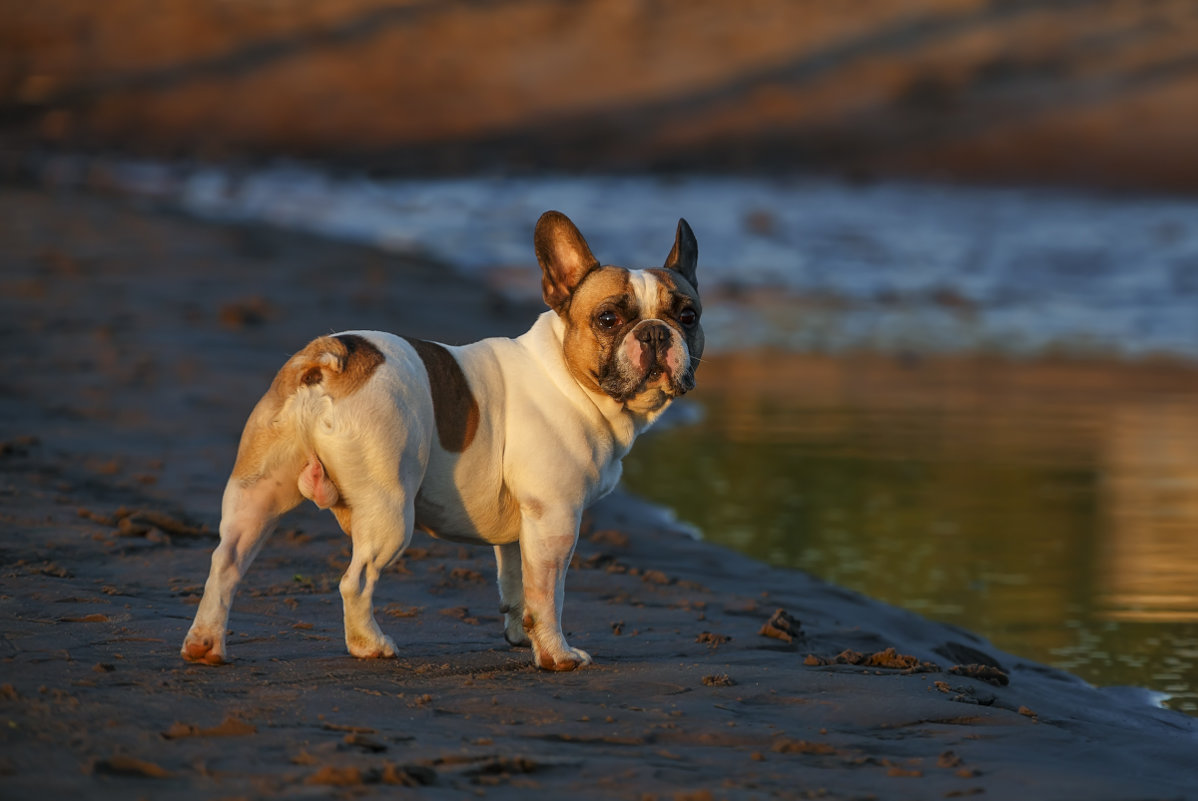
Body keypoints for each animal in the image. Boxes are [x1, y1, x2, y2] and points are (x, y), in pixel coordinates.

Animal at [178, 210, 699, 670]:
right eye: (609, 319)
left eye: (689, 315)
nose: (656, 332)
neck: (569, 378)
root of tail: (334, 357)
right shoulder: (556, 519)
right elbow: (549, 595)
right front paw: (556, 655)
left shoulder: (524, 529)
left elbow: (517, 585)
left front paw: (522, 635)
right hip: (389, 512)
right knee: (355, 581)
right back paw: (369, 645)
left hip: (256, 492)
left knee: (225, 563)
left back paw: (205, 644)